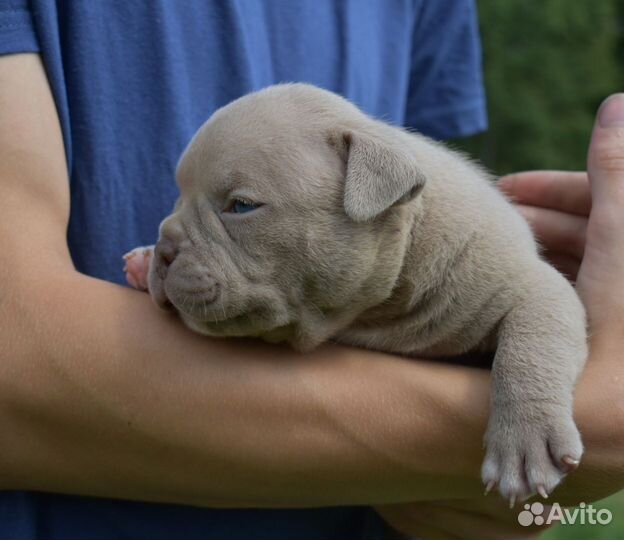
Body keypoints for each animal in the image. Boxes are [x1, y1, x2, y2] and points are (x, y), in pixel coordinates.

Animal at [125, 83, 584, 502]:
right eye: (178, 197)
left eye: (241, 206)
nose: (165, 250)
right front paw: (142, 260)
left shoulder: (531, 285)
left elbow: (530, 344)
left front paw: (524, 441)